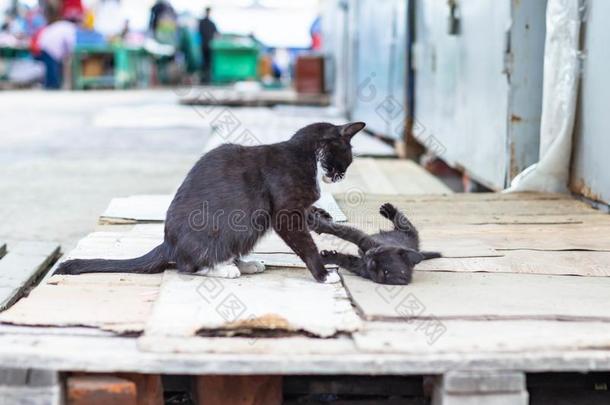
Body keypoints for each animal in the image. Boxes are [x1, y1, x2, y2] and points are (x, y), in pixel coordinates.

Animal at [54, 121, 364, 282]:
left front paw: (322, 215)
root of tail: (168, 244)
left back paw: (246, 264)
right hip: (232, 227)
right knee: (188, 266)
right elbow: (305, 244)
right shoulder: (285, 211)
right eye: (345, 160)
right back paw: (226, 269)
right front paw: (323, 275)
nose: (340, 176)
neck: (306, 155)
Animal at [306, 202, 440, 284]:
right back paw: (389, 210)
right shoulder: (366, 241)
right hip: (408, 231)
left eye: (374, 265)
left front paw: (325, 258)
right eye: (380, 250)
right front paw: (318, 224)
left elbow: (344, 259)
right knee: (401, 220)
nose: (368, 254)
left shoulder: (359, 267)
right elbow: (345, 232)